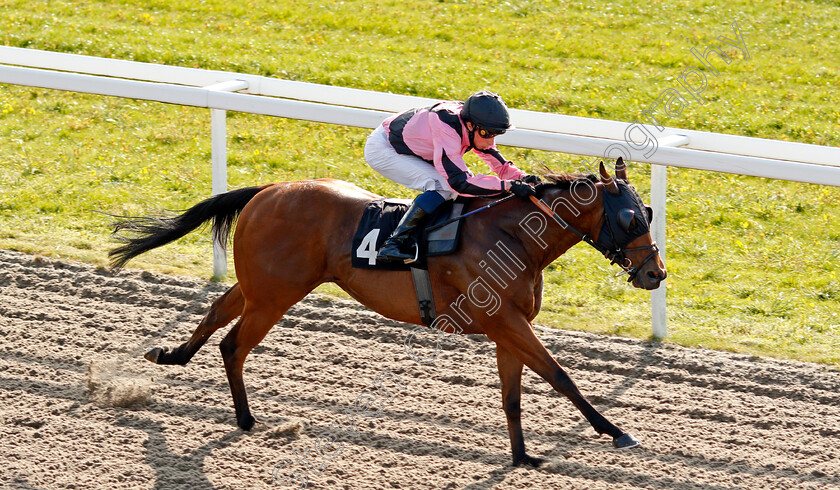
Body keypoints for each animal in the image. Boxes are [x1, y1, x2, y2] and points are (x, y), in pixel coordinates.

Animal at [108, 160, 668, 468]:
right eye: (628, 218)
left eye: (648, 213)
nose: (655, 273)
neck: (512, 237)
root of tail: (267, 191)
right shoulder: (507, 322)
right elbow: (560, 375)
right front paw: (617, 432)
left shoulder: (507, 328)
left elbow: (513, 396)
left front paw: (522, 456)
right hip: (274, 295)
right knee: (233, 344)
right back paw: (246, 418)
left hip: (262, 287)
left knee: (218, 312)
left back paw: (171, 356)